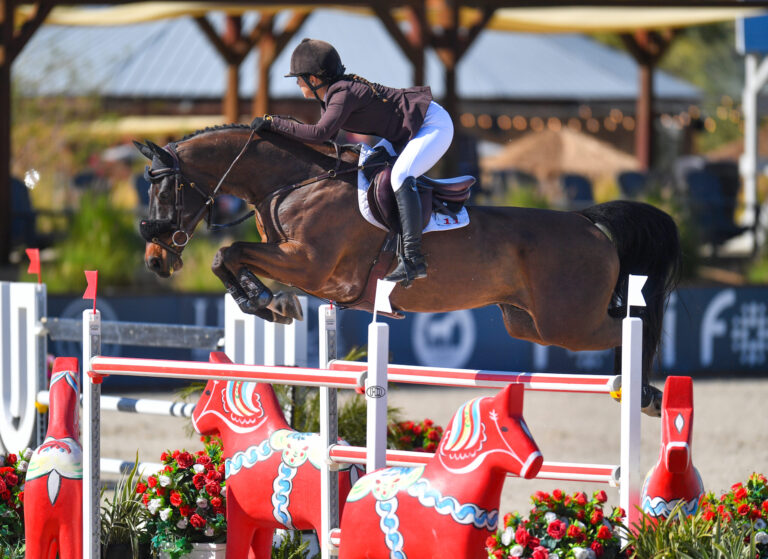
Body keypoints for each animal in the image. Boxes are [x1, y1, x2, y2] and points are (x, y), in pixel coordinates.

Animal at [135, 124, 680, 398]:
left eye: (164, 188)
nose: (155, 261)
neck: (294, 182)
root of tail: (588, 223)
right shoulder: (306, 270)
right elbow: (231, 259)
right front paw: (271, 303)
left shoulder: (311, 263)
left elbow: (227, 252)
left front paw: (265, 301)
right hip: (528, 323)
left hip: (567, 321)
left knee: (633, 324)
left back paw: (645, 393)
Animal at [190, 352, 362, 556]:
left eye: (208, 392)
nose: (195, 420)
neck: (249, 437)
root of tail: (352, 465)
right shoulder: (263, 524)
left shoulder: (240, 518)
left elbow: (236, 551)